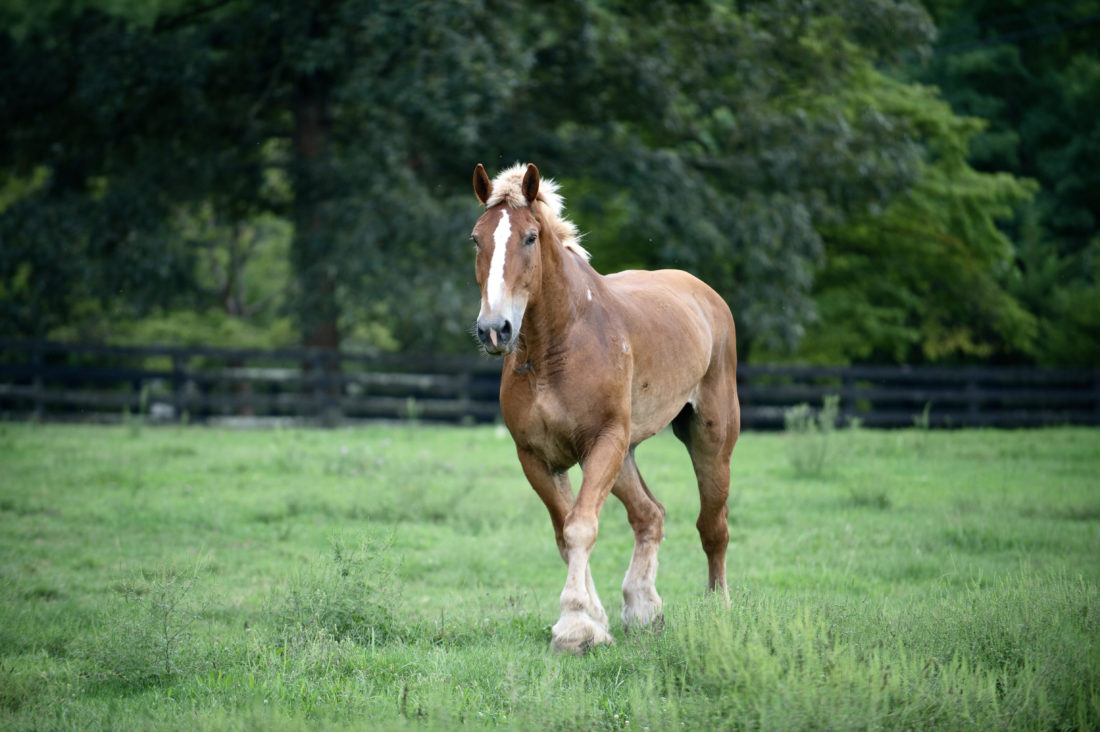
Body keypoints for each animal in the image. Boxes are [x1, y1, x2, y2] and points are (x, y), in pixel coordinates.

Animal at [466, 161, 739, 651]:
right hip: (625, 454)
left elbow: (580, 527)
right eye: (477, 239)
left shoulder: (602, 443)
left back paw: (717, 612)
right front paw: (593, 620)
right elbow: (565, 532)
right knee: (650, 515)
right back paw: (644, 610)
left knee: (714, 527)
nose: (495, 329)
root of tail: (705, 296)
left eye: (530, 237)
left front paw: (575, 626)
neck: (557, 346)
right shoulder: (537, 457)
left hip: (708, 438)